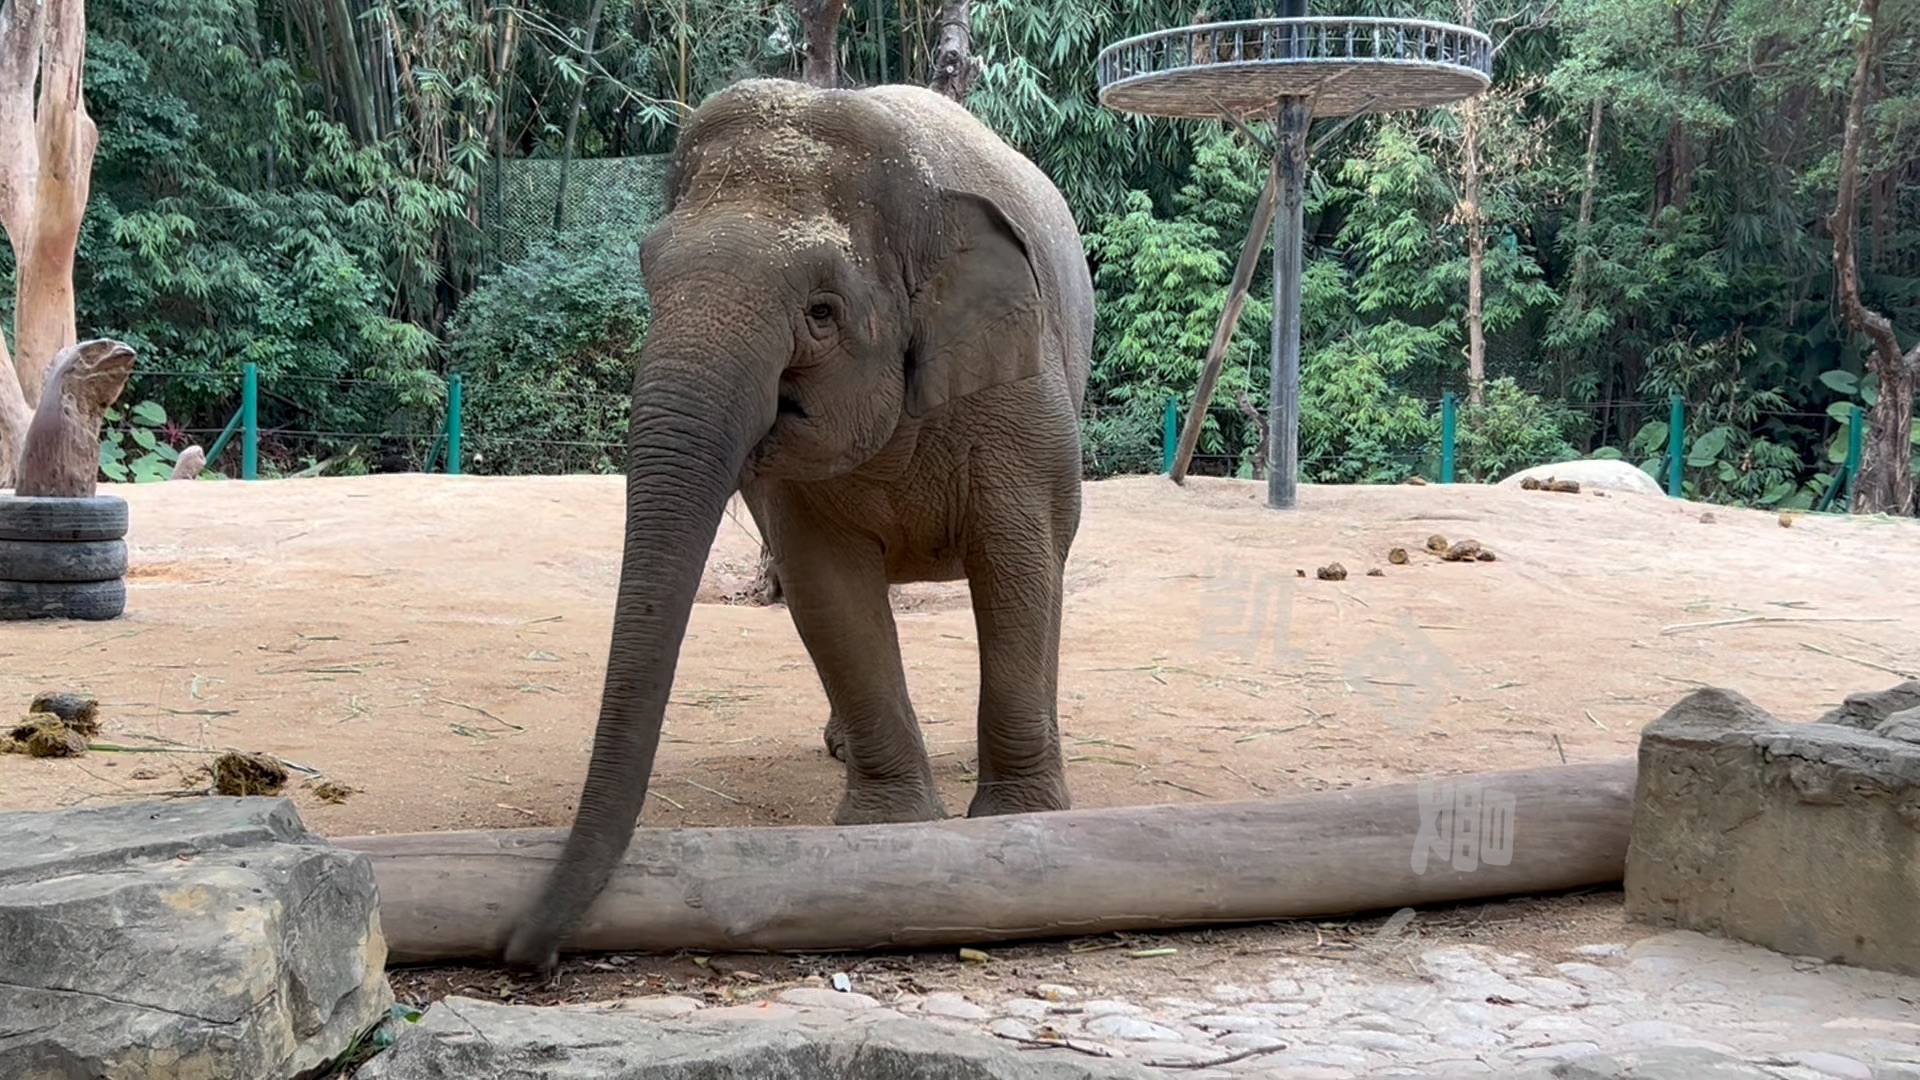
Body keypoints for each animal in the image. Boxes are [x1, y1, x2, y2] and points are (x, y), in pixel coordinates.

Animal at [499, 75, 1098, 968]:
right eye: (649, 276)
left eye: (821, 311)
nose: (524, 952)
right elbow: (829, 591)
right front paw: (888, 827)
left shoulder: (1017, 391)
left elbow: (1016, 566)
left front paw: (1020, 820)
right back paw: (840, 746)